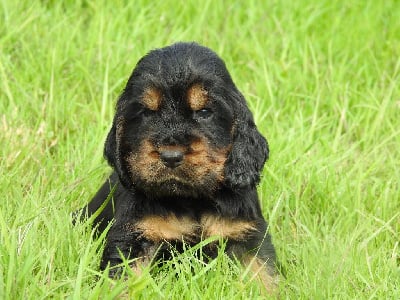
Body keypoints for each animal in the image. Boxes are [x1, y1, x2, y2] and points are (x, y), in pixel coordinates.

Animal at [77, 41, 278, 290]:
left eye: (204, 111)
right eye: (147, 112)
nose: (171, 156)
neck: (191, 200)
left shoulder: (247, 235)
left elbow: (263, 275)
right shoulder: (134, 236)